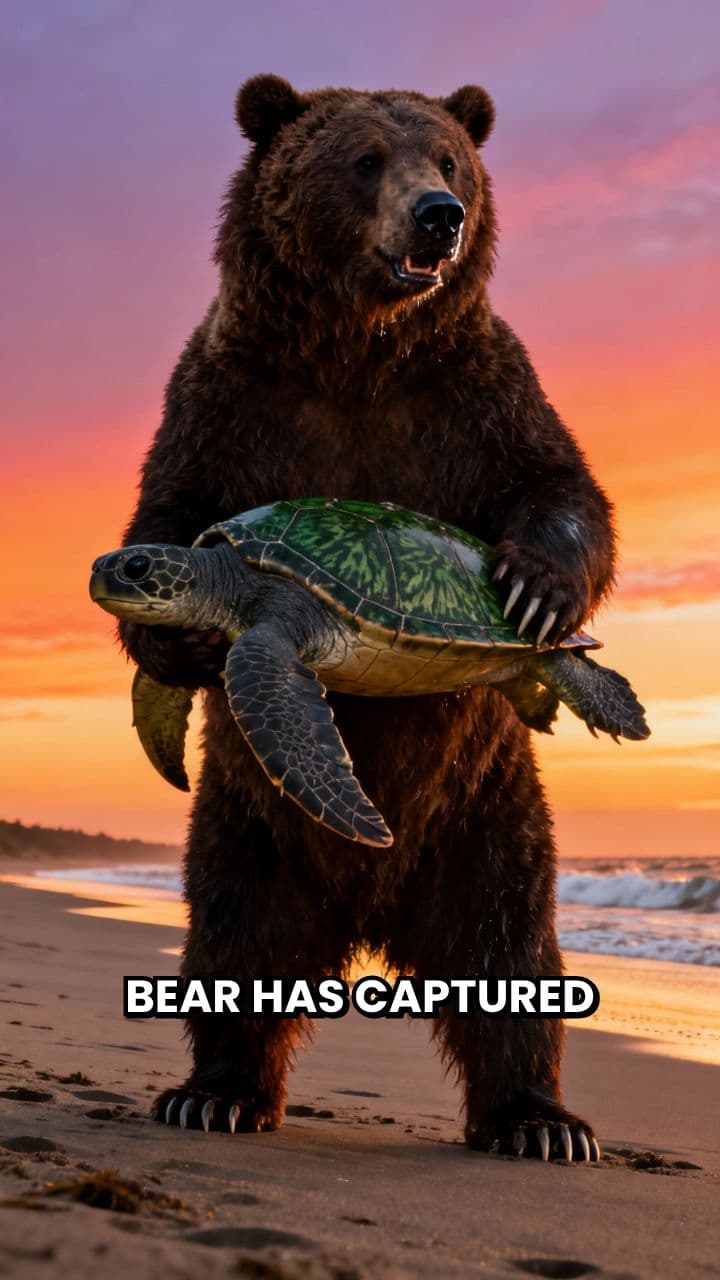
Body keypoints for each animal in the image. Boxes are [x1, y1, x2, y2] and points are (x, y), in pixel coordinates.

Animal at [119, 75, 615, 1160]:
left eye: (449, 156)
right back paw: (216, 1091)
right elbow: (167, 502)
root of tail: (371, 910)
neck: (358, 353)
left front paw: (537, 585)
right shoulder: (225, 401)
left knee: (510, 944)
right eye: (364, 160)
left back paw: (540, 1118)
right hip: (251, 823)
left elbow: (559, 484)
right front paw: (176, 633)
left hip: (485, 810)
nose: (442, 216)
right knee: (237, 934)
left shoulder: (476, 393)